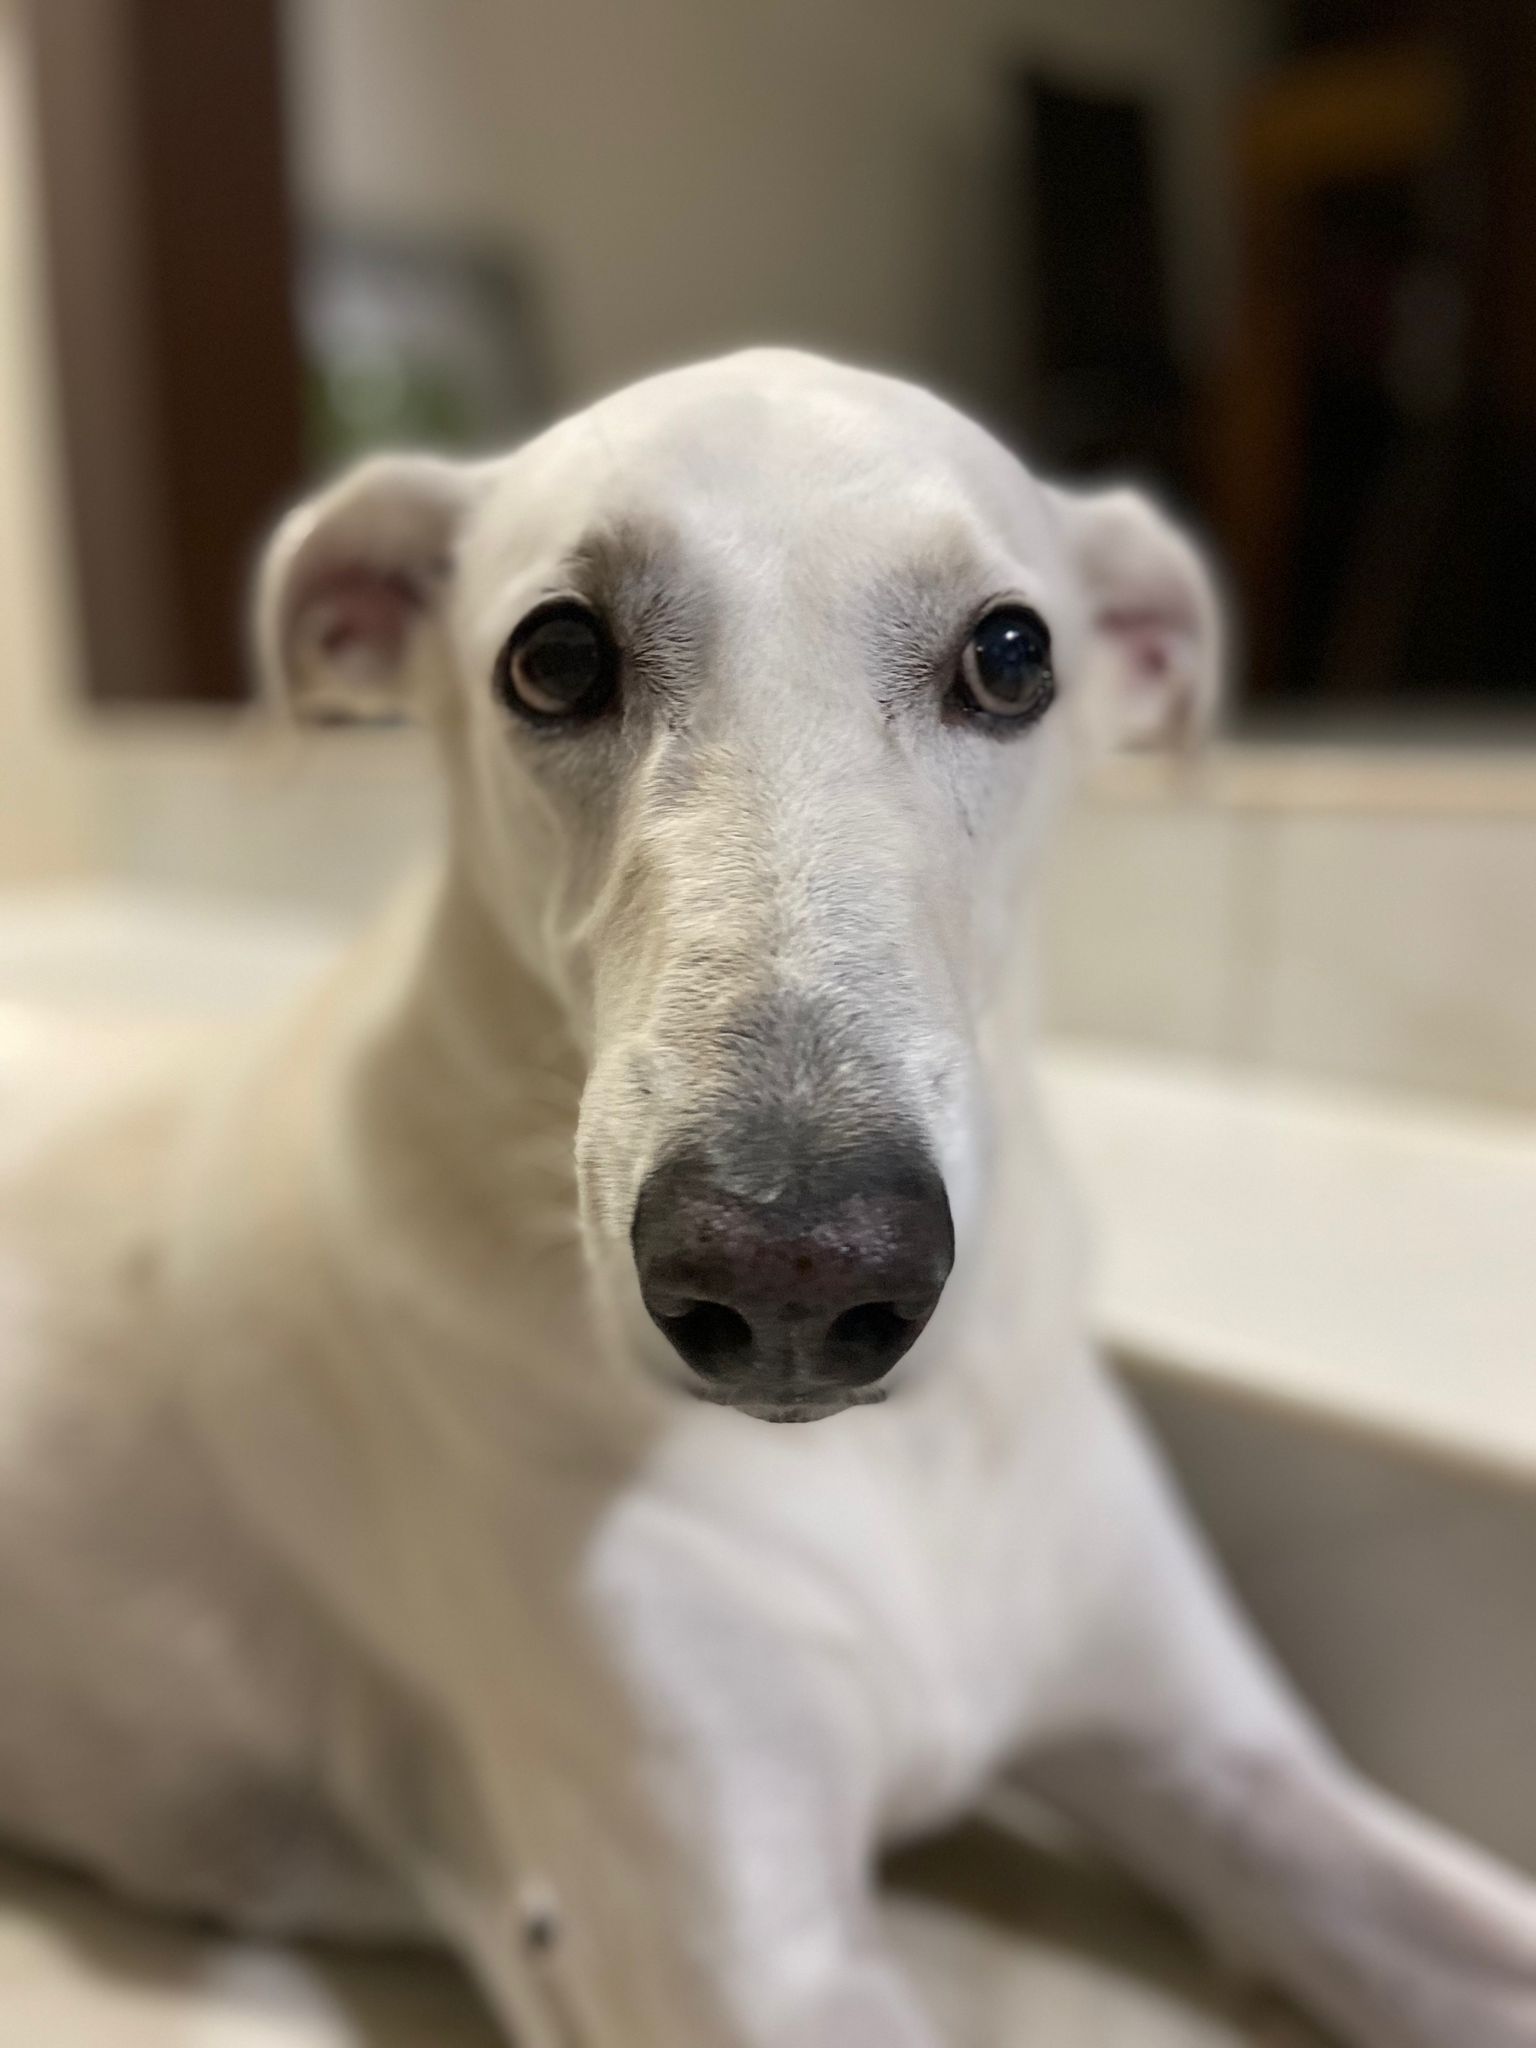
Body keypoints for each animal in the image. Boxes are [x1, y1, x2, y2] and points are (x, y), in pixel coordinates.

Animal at [3, 352, 1536, 2048]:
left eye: (1011, 655)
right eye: (555, 657)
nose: (794, 1278)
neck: (891, 1463)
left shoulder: (1238, 1771)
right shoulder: (738, 1954)